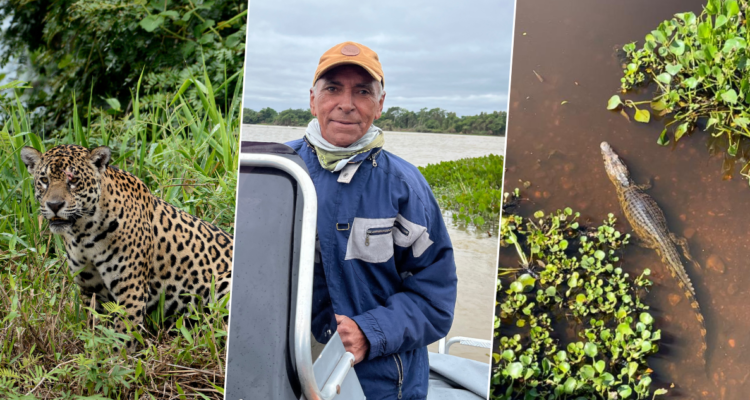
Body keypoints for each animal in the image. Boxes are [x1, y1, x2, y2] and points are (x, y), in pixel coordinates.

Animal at [21, 144, 233, 351]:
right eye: (44, 180)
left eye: (74, 181)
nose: (54, 205)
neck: (83, 233)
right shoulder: (92, 291)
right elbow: (96, 332)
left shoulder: (130, 289)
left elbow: (123, 337)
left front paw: (118, 360)